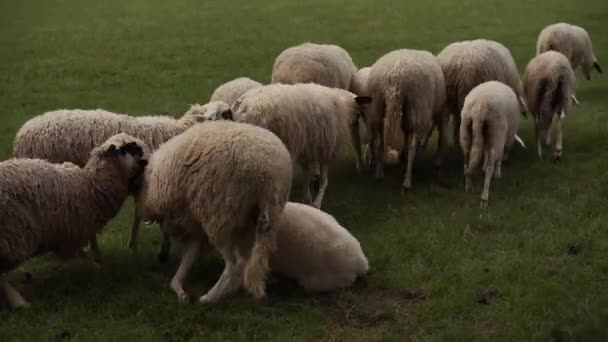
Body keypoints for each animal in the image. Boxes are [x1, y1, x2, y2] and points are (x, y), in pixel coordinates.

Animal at [0, 134, 150, 310]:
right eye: (126, 150)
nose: (145, 161)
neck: (91, 187)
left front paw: (95, 262)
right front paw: (95, 263)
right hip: (12, 234)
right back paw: (19, 302)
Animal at [137, 120, 292, 304]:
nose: (161, 257)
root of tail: (269, 175)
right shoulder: (195, 226)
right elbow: (189, 256)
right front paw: (180, 288)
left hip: (218, 214)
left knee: (235, 264)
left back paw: (209, 298)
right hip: (268, 217)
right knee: (257, 257)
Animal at [233, 83, 370, 208]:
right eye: (359, 115)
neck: (343, 106)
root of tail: (244, 104)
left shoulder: (307, 145)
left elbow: (307, 173)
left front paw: (308, 197)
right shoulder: (326, 146)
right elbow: (323, 181)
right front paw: (316, 202)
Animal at [366, 49, 446, 190]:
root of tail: (395, 78)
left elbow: (385, 143)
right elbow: (408, 144)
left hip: (377, 108)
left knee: (382, 143)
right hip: (417, 109)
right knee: (413, 146)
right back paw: (407, 180)